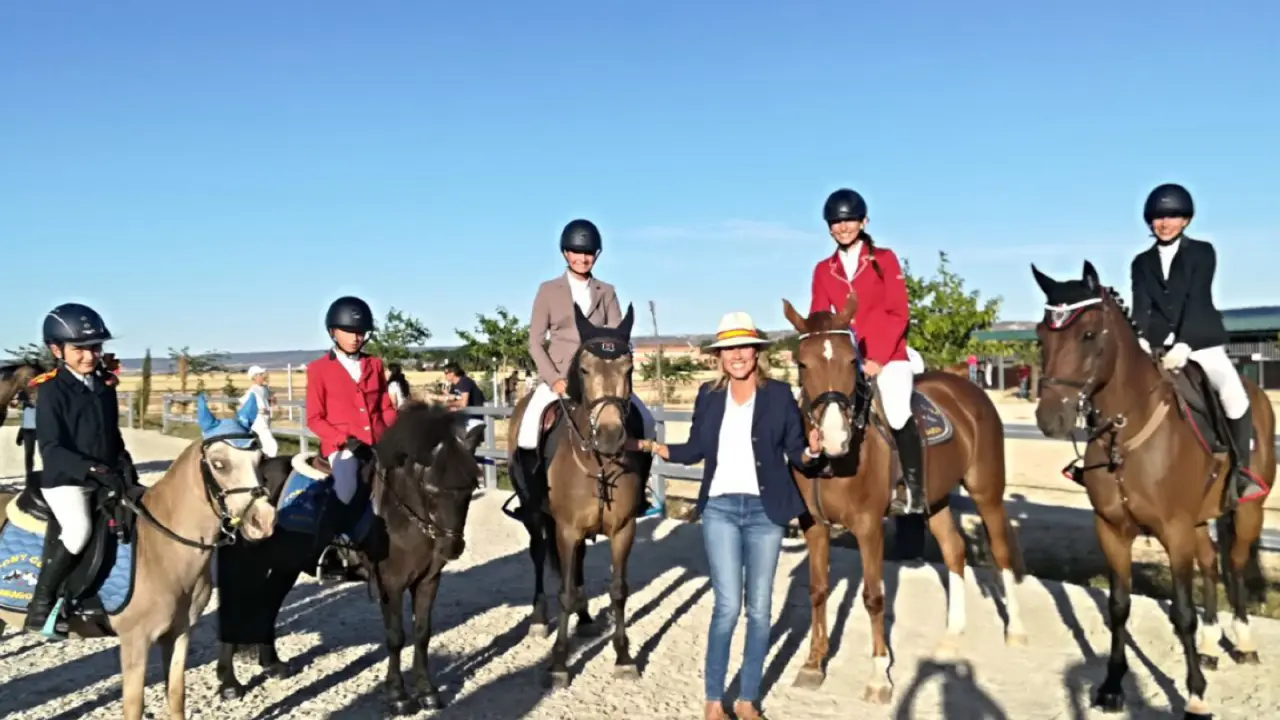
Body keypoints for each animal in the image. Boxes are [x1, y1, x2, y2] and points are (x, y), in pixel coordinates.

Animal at [0, 393, 275, 720]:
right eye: (219, 464)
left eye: (260, 460)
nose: (263, 521)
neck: (162, 547)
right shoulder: (135, 640)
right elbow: (134, 706)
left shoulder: (180, 633)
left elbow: (176, 695)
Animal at [213, 401, 483, 714]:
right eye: (431, 489)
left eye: (471, 487)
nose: (452, 547)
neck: (402, 516)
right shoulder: (390, 584)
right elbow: (396, 637)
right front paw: (398, 696)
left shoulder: (428, 580)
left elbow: (422, 633)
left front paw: (427, 691)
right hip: (247, 564)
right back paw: (229, 684)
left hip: (284, 566)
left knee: (268, 604)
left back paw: (272, 664)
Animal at [505, 303, 647, 689]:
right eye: (584, 369)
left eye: (630, 369)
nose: (611, 435)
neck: (598, 459)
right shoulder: (565, 529)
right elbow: (565, 592)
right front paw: (558, 663)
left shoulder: (623, 529)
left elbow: (618, 589)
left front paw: (623, 656)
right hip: (536, 515)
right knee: (539, 554)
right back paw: (539, 619)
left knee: (579, 562)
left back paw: (584, 618)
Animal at [781, 294, 1027, 705]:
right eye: (802, 363)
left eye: (852, 361)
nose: (834, 437)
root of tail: (966, 387)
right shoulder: (814, 526)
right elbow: (817, 590)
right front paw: (813, 664)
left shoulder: (869, 528)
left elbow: (874, 597)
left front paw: (879, 676)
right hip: (936, 499)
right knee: (954, 550)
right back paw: (951, 636)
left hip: (987, 492)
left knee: (1001, 550)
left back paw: (1016, 630)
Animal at [1031, 261, 1274, 719]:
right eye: (1040, 335)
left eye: (1088, 334)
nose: (1050, 419)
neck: (1124, 433)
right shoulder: (1112, 530)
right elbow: (1118, 606)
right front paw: (1111, 686)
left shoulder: (1173, 531)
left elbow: (1182, 613)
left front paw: (1195, 695)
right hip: (1198, 520)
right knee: (1210, 564)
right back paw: (1211, 644)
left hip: (1249, 510)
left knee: (1233, 564)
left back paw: (1243, 641)